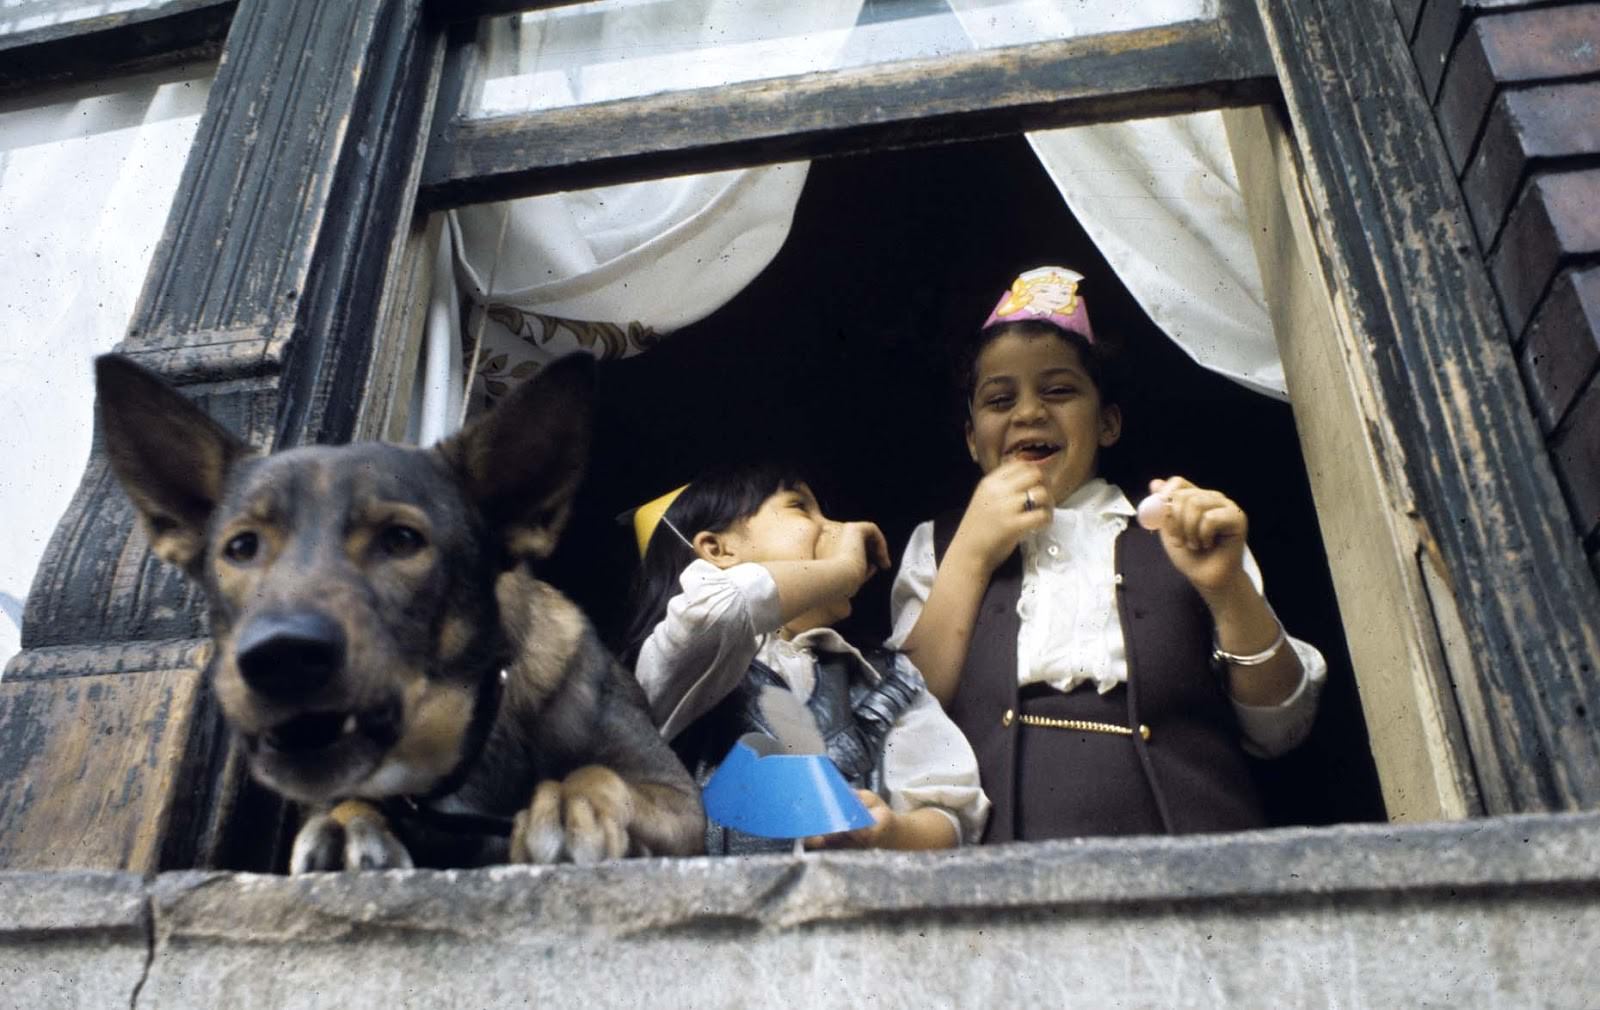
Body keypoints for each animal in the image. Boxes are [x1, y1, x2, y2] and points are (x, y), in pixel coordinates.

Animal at [95, 353, 700, 870]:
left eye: (402, 540)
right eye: (241, 547)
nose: (279, 656)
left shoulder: (679, 800)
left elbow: (600, 775)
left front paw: (574, 804)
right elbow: (345, 801)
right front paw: (347, 820)